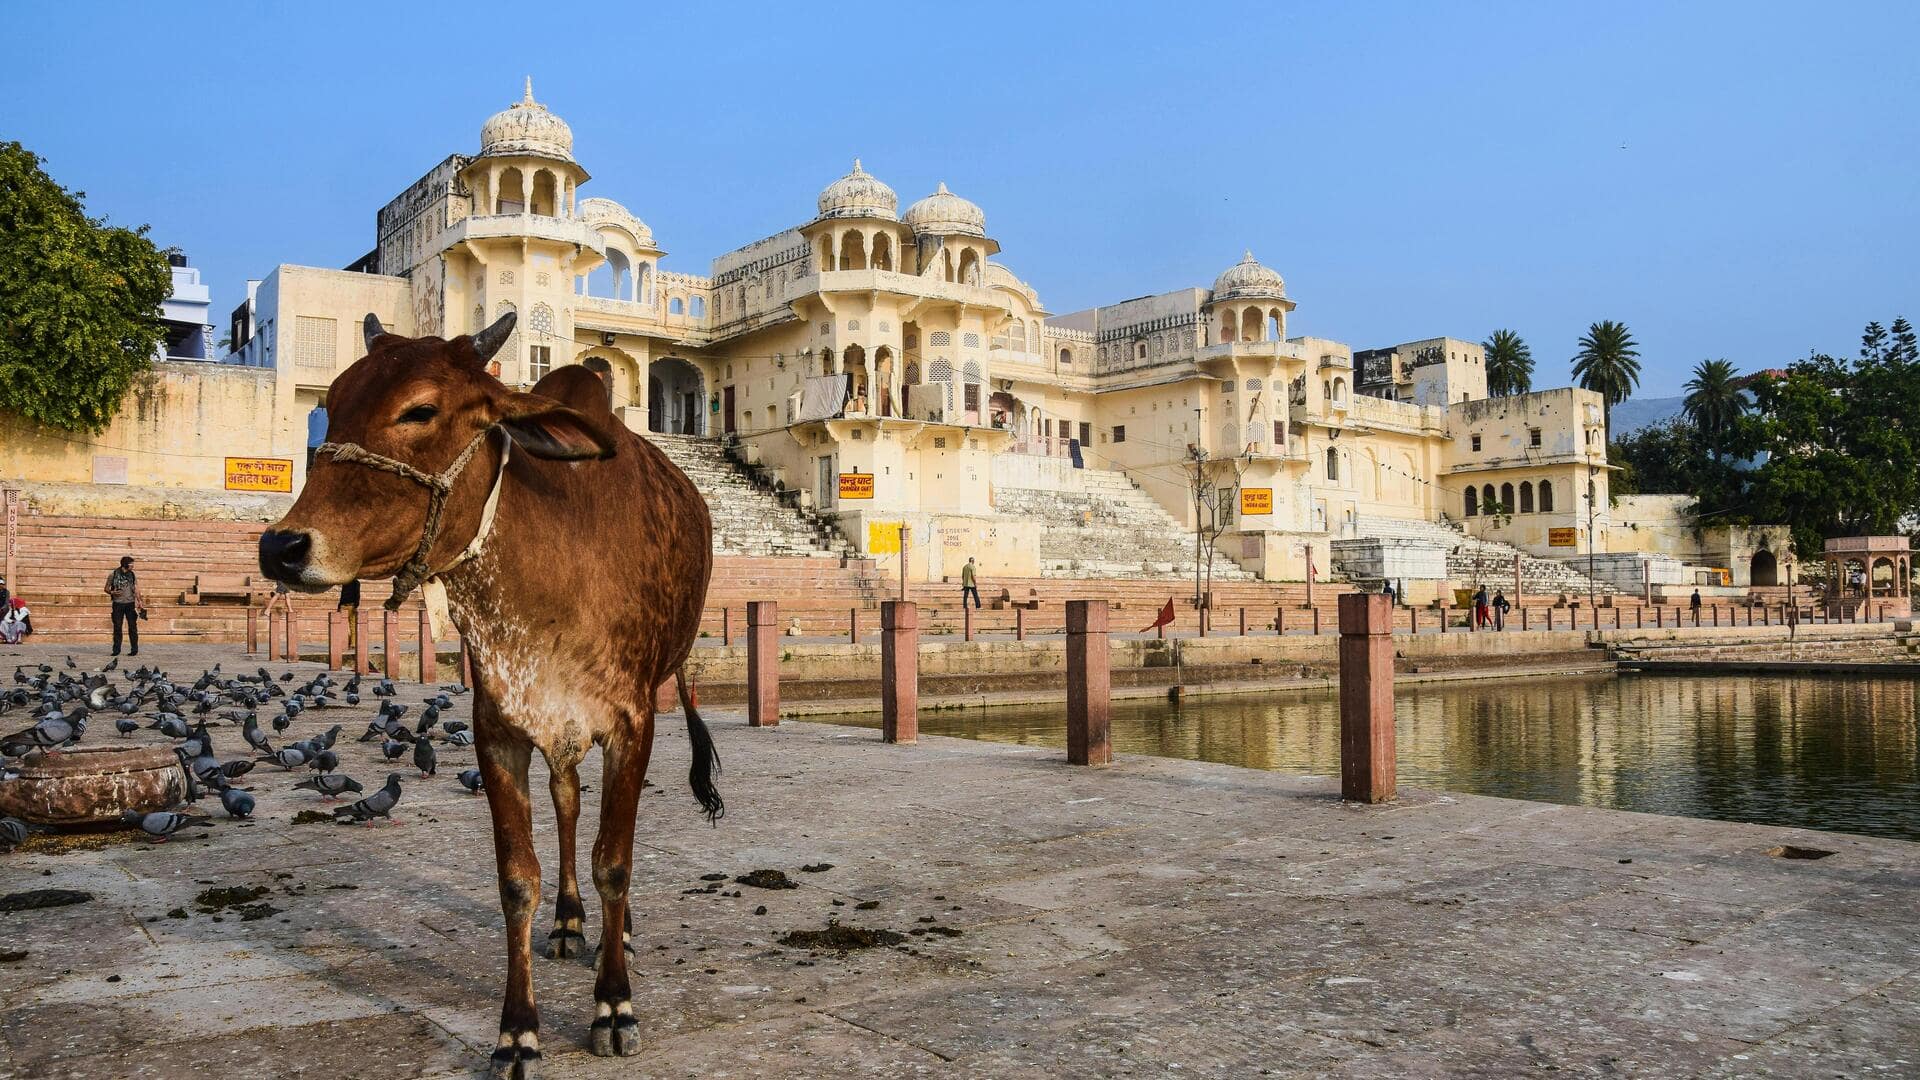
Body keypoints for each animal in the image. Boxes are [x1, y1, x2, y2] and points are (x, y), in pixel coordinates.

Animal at [259, 307, 721, 1068]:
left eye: (421, 409)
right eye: (333, 404)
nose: (281, 547)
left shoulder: (631, 723)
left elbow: (616, 862)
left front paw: (613, 1004)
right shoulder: (498, 728)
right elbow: (516, 879)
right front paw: (517, 1032)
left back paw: (614, 933)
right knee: (567, 803)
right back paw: (568, 922)